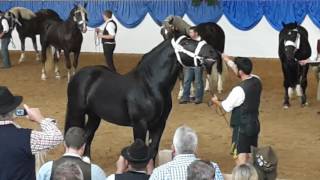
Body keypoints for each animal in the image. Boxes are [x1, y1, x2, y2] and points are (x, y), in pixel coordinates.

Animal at [64, 35, 220, 159]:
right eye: (186, 43)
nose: (212, 51)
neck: (150, 85)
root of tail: (79, 75)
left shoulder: (159, 124)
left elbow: (153, 151)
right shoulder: (140, 124)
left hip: (94, 116)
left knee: (87, 137)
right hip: (76, 112)